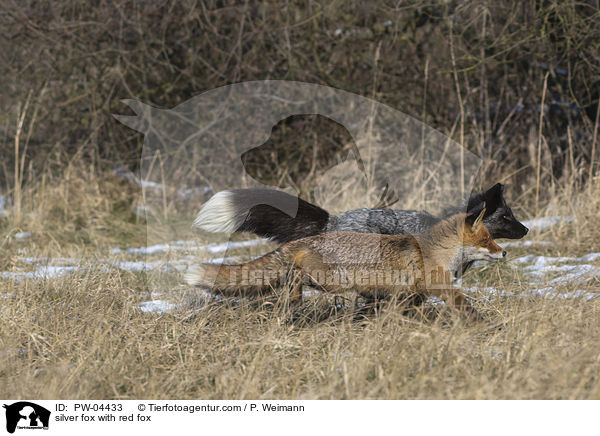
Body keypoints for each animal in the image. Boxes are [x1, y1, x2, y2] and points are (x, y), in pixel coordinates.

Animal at [185, 206, 504, 322]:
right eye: (487, 239)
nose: (503, 253)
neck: (437, 252)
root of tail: (305, 240)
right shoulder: (442, 288)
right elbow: (466, 305)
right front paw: (485, 324)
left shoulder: (407, 295)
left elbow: (394, 312)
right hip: (332, 281)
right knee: (297, 275)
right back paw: (295, 295)